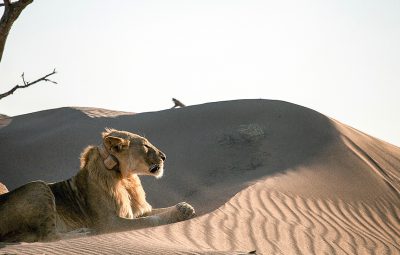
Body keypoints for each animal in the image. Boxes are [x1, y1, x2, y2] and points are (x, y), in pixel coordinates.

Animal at [0, 128, 195, 242]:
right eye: (145, 146)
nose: (164, 157)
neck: (125, 178)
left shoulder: (137, 211)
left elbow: (157, 211)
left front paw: (185, 207)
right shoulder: (110, 224)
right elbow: (149, 220)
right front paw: (180, 213)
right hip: (39, 186)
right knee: (47, 237)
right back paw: (83, 233)